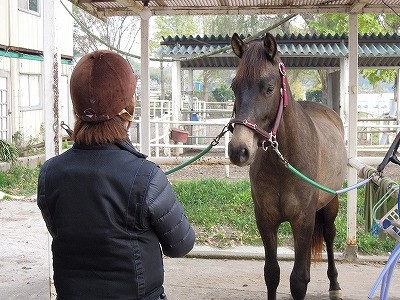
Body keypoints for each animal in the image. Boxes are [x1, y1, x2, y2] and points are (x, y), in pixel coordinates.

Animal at [228, 31, 346, 298]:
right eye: (234, 86)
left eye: (269, 88)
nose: (239, 150)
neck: (283, 164)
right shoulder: (265, 220)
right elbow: (272, 274)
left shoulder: (302, 219)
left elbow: (298, 281)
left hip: (331, 204)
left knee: (330, 236)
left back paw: (334, 284)